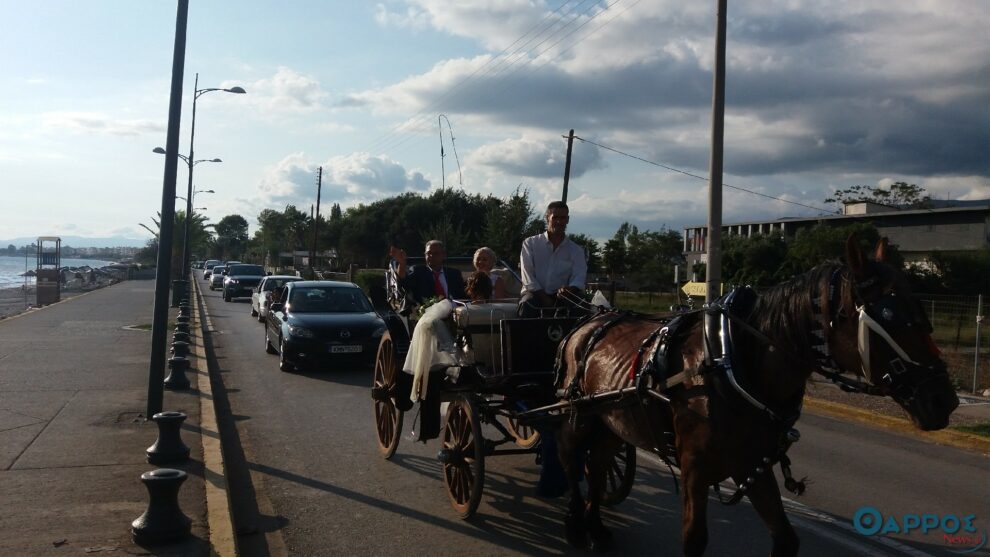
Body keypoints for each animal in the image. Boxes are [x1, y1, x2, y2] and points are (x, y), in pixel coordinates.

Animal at [556, 237, 956, 552]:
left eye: (920, 310)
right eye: (888, 316)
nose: (944, 400)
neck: (730, 360)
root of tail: (589, 320)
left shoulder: (753, 467)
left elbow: (786, 538)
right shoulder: (694, 469)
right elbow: (694, 540)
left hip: (613, 423)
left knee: (597, 465)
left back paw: (596, 527)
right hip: (579, 415)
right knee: (572, 459)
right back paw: (576, 524)